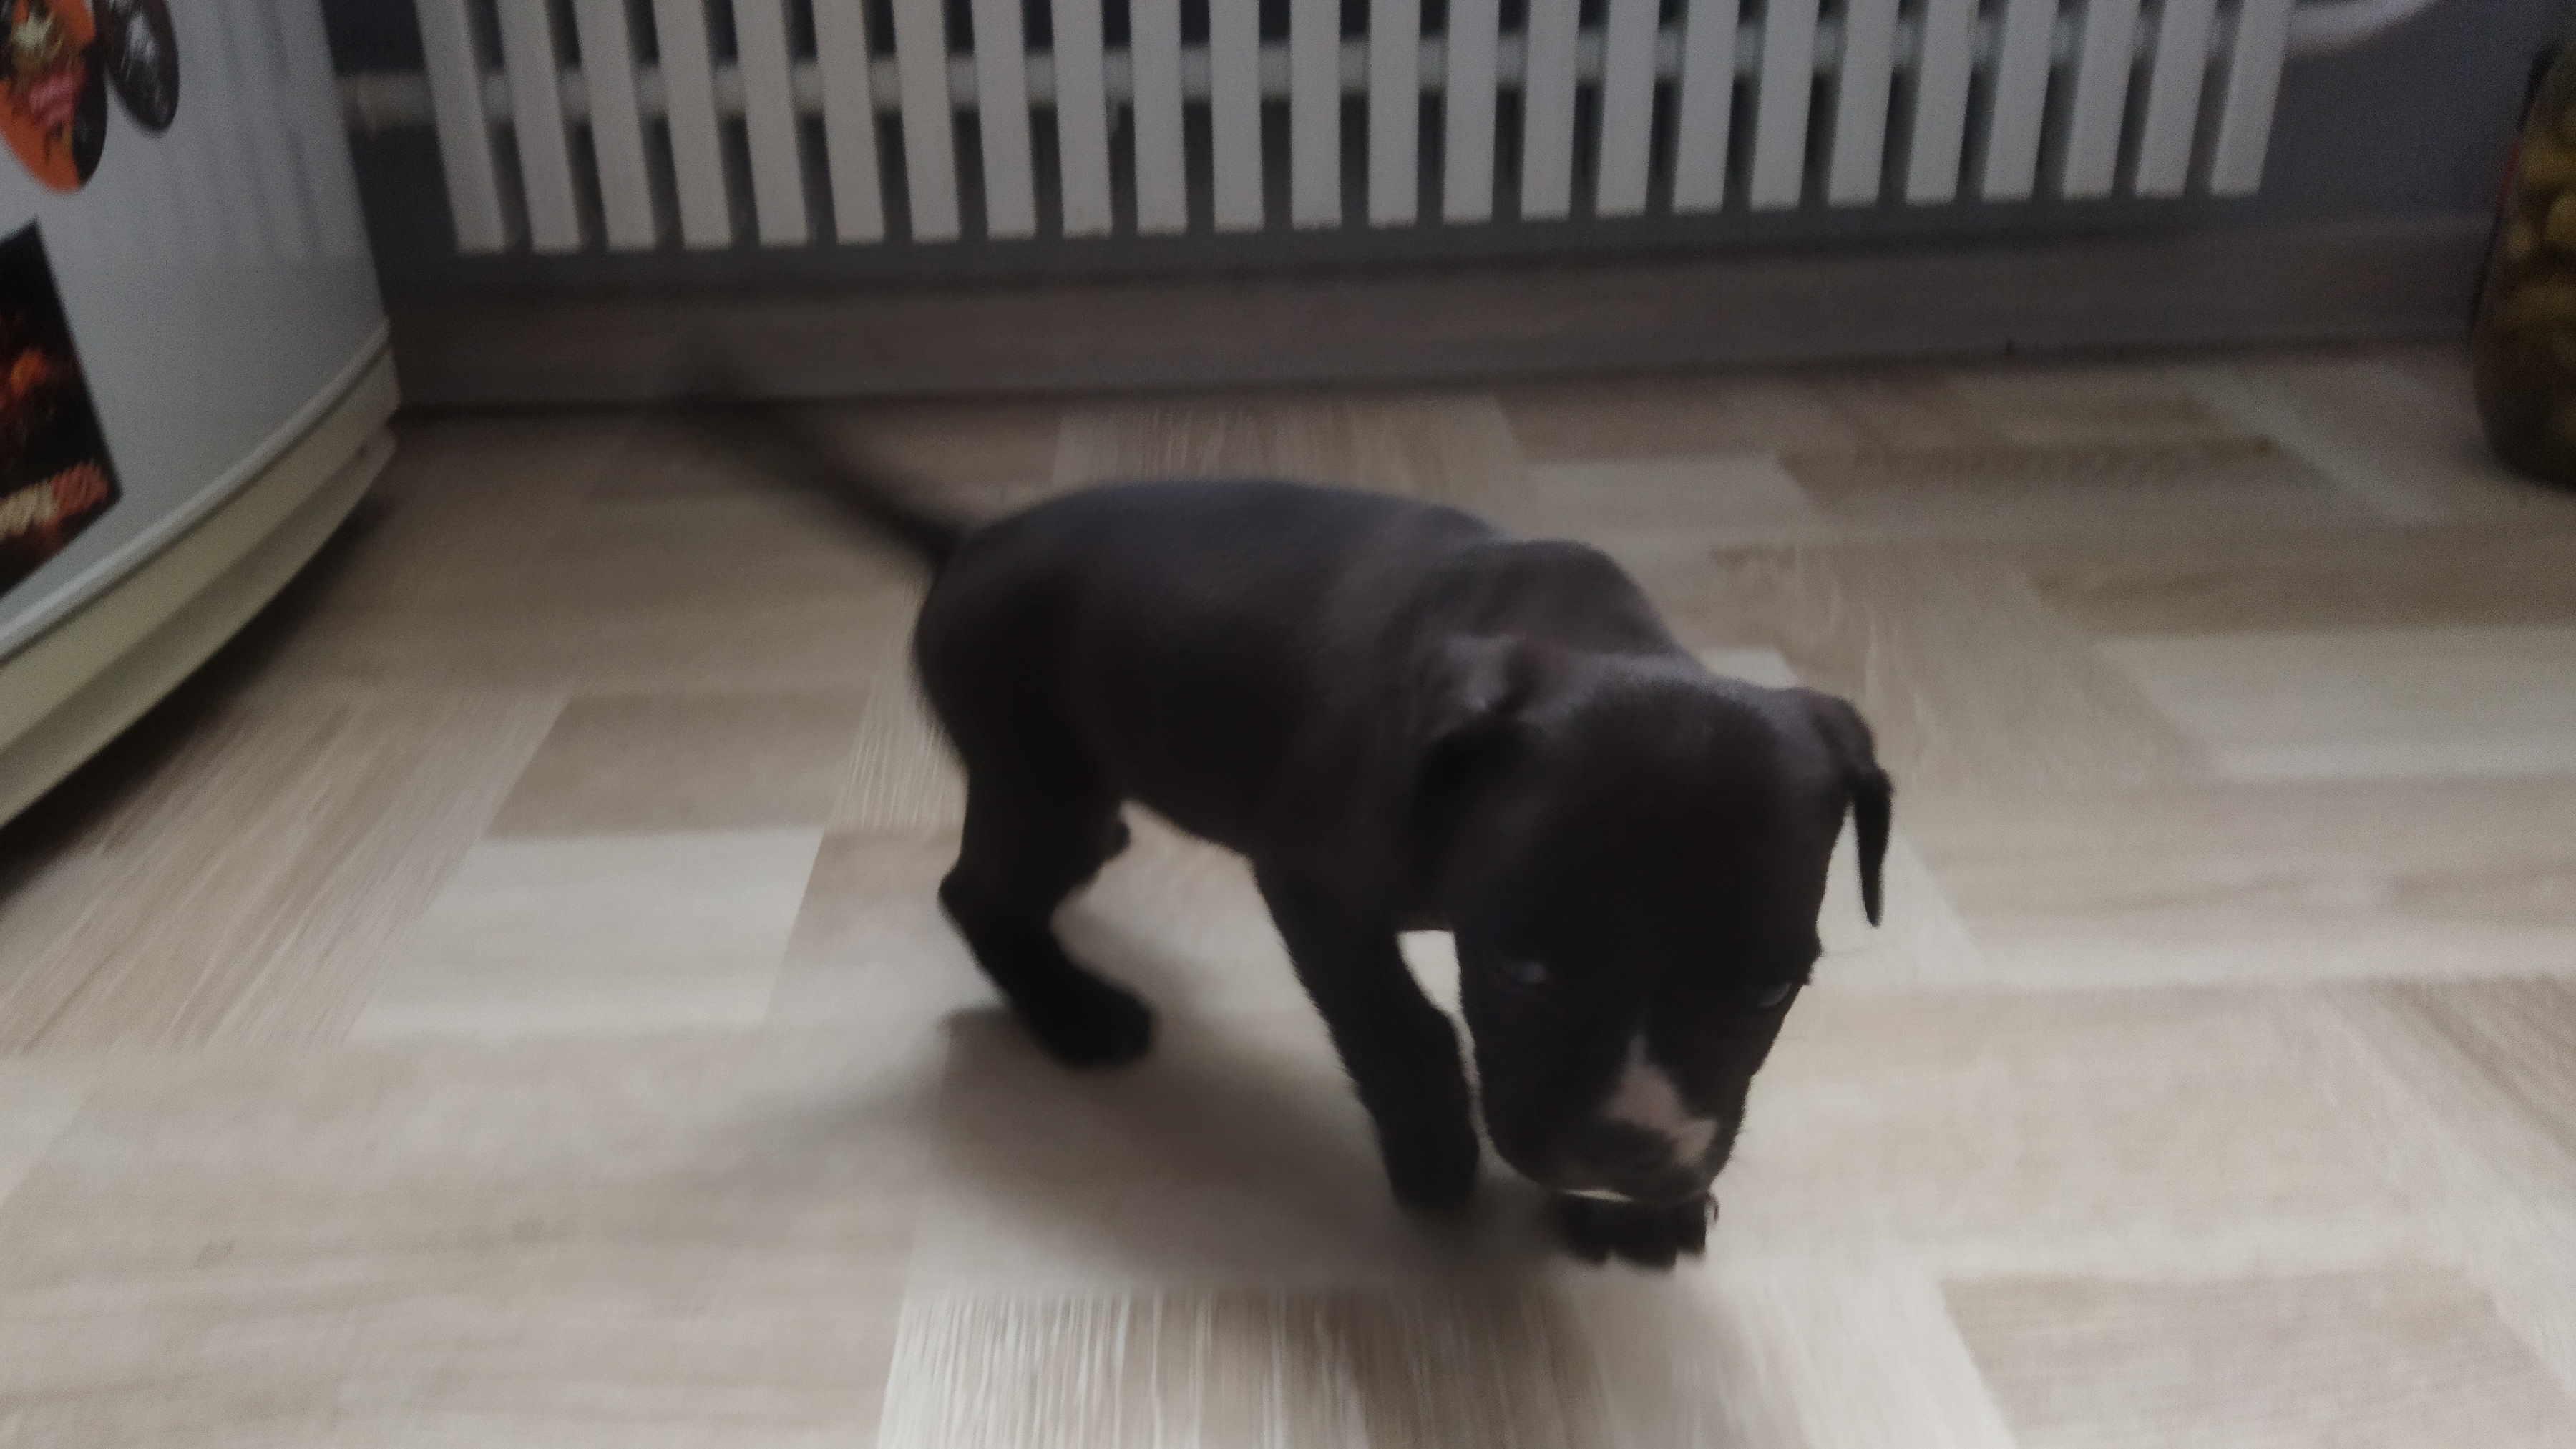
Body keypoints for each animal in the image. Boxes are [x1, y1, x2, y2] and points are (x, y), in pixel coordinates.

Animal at [701, 402, 1890, 1269]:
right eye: (1521, 969)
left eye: (1768, 993)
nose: (1631, 1144)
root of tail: (973, 540)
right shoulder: (1315, 886)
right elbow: (1402, 1027)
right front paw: (1433, 1149)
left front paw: (1619, 1209)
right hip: (1045, 787)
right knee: (978, 893)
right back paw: (1074, 1011)